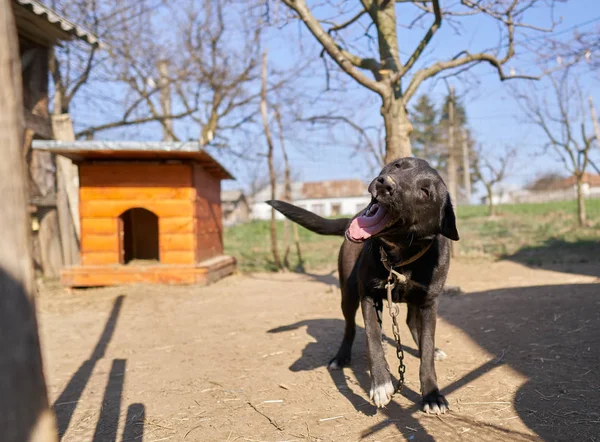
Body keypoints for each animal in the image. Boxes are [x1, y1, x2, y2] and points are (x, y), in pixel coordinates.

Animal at [268, 157, 460, 412]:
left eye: (425, 191)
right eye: (399, 165)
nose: (385, 183)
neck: (398, 257)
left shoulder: (429, 302)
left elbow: (427, 350)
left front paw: (432, 394)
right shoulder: (369, 296)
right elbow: (372, 339)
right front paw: (380, 383)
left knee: (410, 322)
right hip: (348, 296)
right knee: (350, 328)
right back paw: (341, 357)